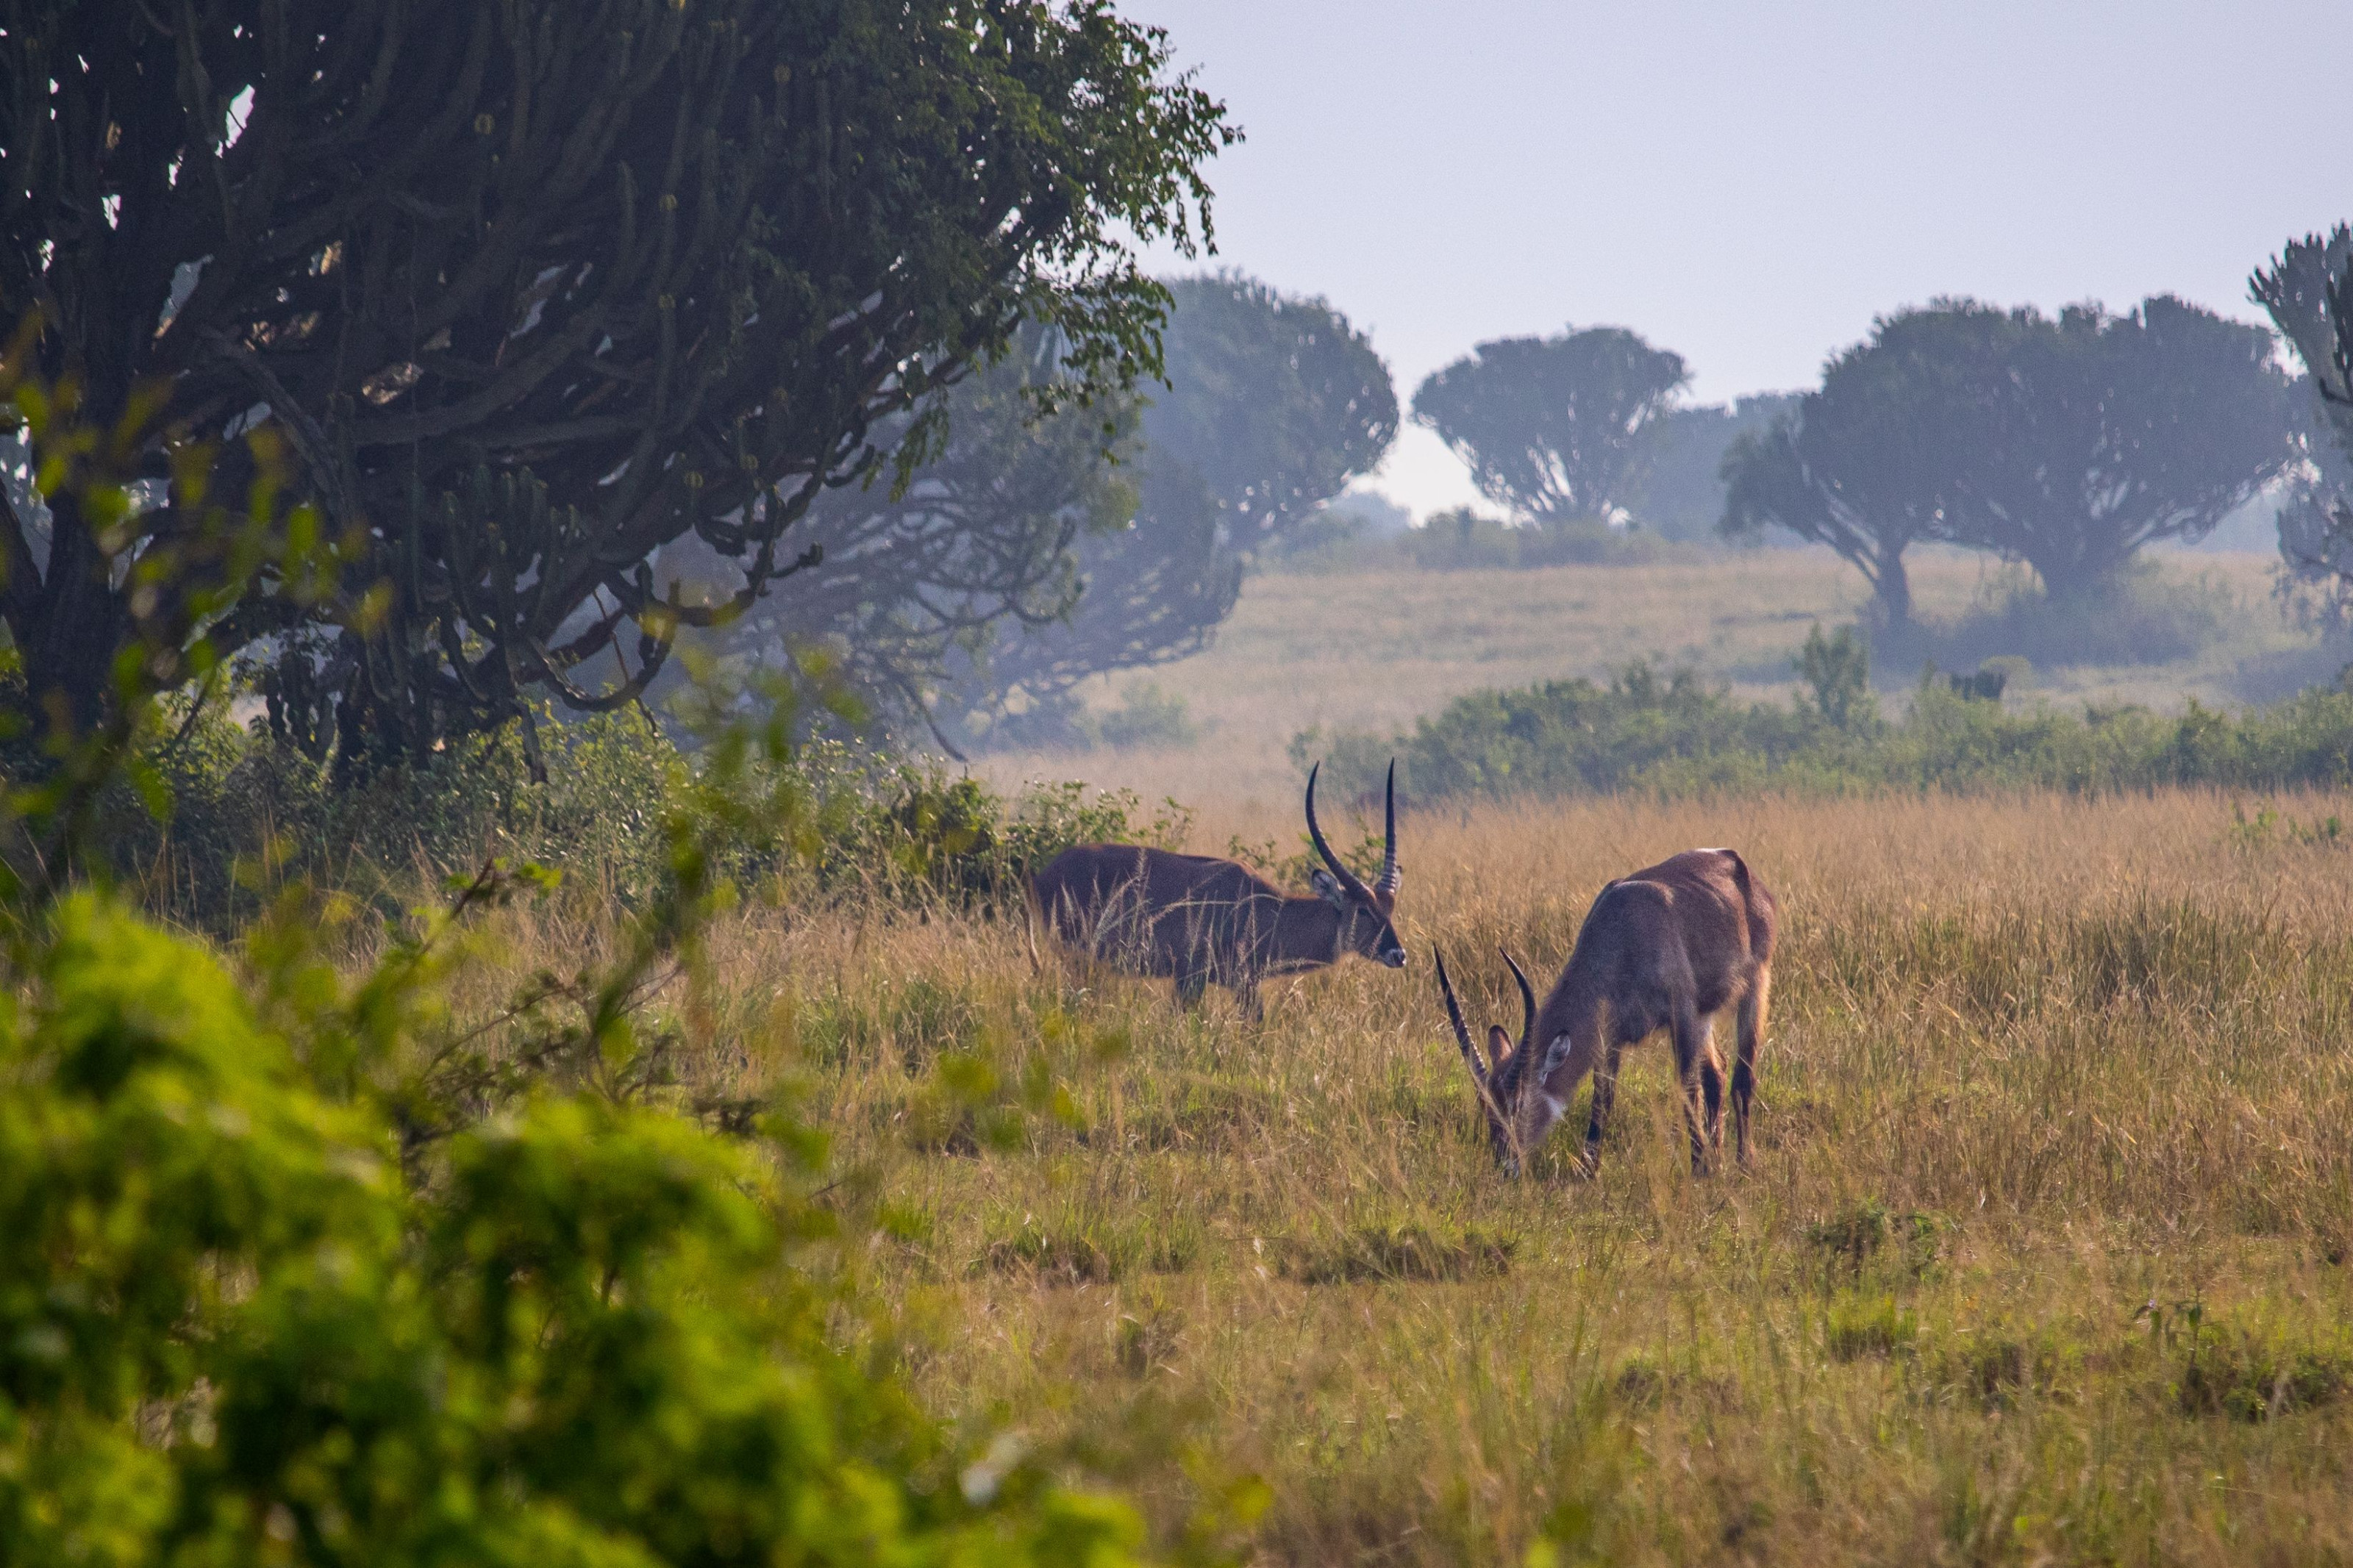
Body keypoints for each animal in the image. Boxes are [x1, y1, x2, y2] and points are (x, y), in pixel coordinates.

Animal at [1029, 761, 1406, 1019]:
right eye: (1363, 910)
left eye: (1390, 909)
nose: (1398, 955)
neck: (1271, 911)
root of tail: (1043, 873)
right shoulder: (1193, 979)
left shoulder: (1244, 984)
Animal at [1434, 848, 1777, 1177]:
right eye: (1486, 1103)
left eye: (1518, 1102)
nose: (1506, 1166)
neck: (1621, 934)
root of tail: (1735, 861)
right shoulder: (1609, 1037)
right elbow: (1603, 1097)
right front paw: (1588, 1170)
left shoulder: (1682, 1015)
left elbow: (1687, 1091)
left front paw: (1699, 1169)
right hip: (1704, 1018)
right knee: (1717, 1075)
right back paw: (1718, 1158)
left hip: (1753, 988)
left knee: (1741, 1079)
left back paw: (1743, 1164)